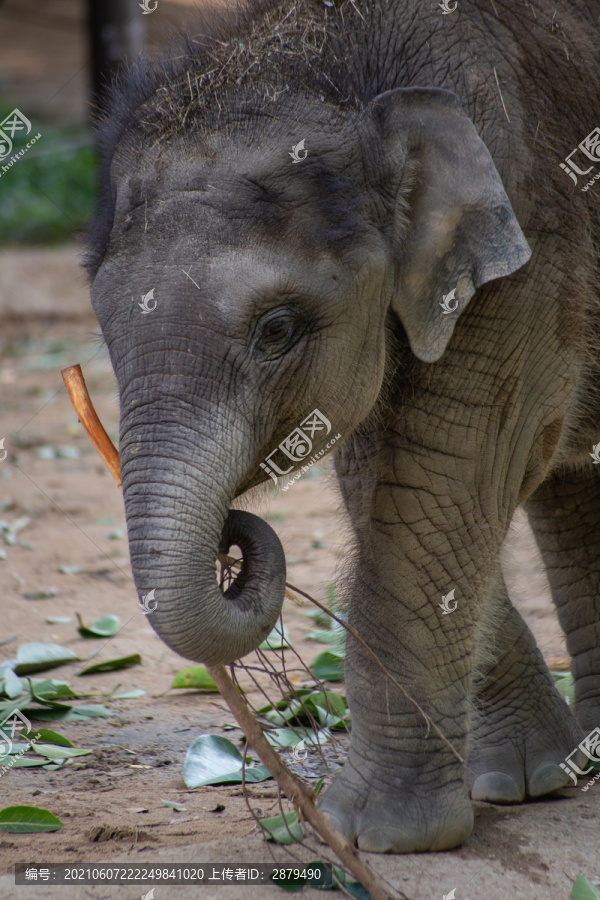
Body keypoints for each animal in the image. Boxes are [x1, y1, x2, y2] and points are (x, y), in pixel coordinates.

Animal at [85, 0, 600, 853]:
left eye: (277, 329)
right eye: (104, 327)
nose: (232, 536)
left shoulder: (530, 238)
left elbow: (451, 468)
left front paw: (374, 837)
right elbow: (388, 476)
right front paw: (522, 785)